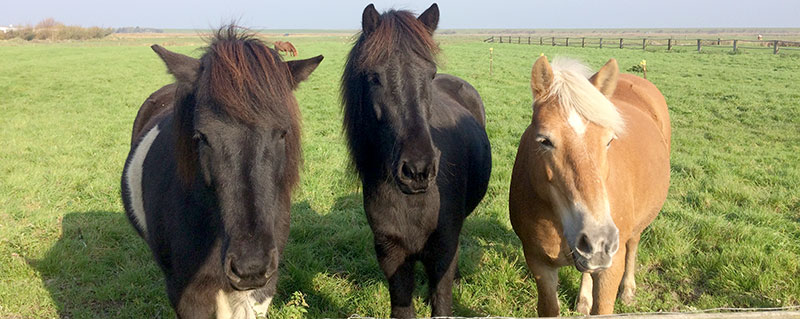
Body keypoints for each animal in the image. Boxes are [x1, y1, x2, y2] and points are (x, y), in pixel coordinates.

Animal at [340, 3, 490, 319]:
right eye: (374, 77)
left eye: (430, 75)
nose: (418, 170)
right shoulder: (391, 253)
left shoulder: (443, 250)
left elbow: (442, 301)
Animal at [510, 57, 672, 318]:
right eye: (544, 141)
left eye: (609, 140)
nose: (599, 239)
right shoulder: (539, 262)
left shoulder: (611, 268)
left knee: (633, 244)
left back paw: (628, 290)